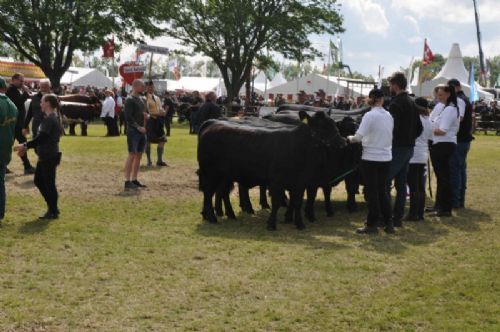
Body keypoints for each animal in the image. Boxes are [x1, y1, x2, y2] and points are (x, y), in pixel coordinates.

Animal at [197, 111, 358, 231]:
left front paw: (299, 224)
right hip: (211, 173)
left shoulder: (300, 182)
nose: (343, 142)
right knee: (208, 193)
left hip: (225, 175)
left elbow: (297, 202)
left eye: (334, 125)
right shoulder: (277, 181)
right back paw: (212, 217)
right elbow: (276, 202)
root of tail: (212, 123)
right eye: (322, 127)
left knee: (220, 192)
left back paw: (226, 215)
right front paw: (271, 224)